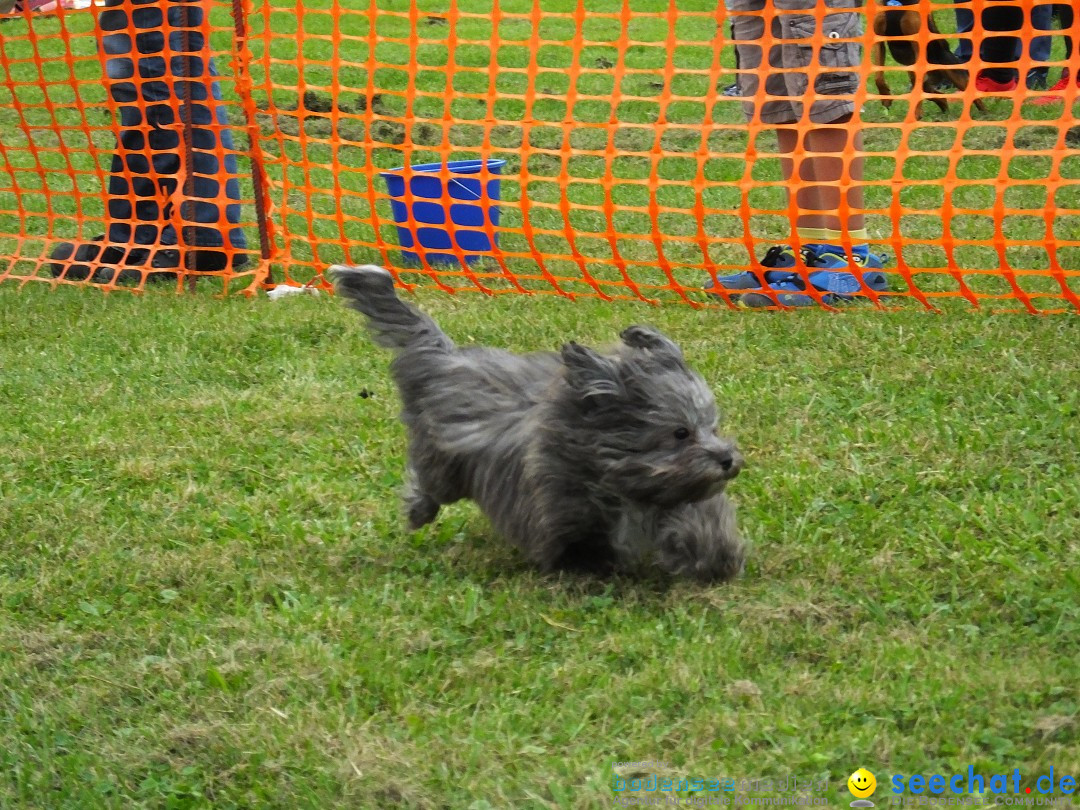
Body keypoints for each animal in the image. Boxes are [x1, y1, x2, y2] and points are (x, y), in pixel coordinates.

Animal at [332, 263, 747, 578]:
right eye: (680, 432)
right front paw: (588, 569)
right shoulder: (561, 504)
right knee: (429, 483)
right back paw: (419, 510)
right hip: (443, 464)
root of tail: (445, 357)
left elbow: (699, 522)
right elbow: (580, 542)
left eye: (712, 426)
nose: (727, 460)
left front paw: (715, 559)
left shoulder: (679, 496)